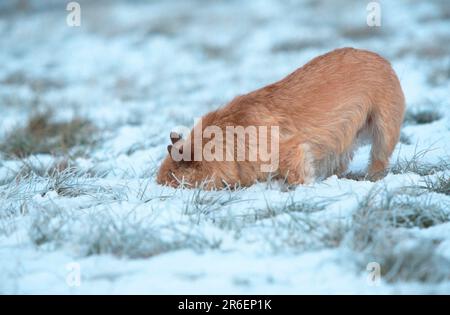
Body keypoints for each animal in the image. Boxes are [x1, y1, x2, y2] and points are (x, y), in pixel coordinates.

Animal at [157, 48, 404, 189]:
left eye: (170, 178)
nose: (157, 186)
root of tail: (382, 59)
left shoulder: (291, 152)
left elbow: (298, 177)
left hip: (384, 131)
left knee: (379, 159)